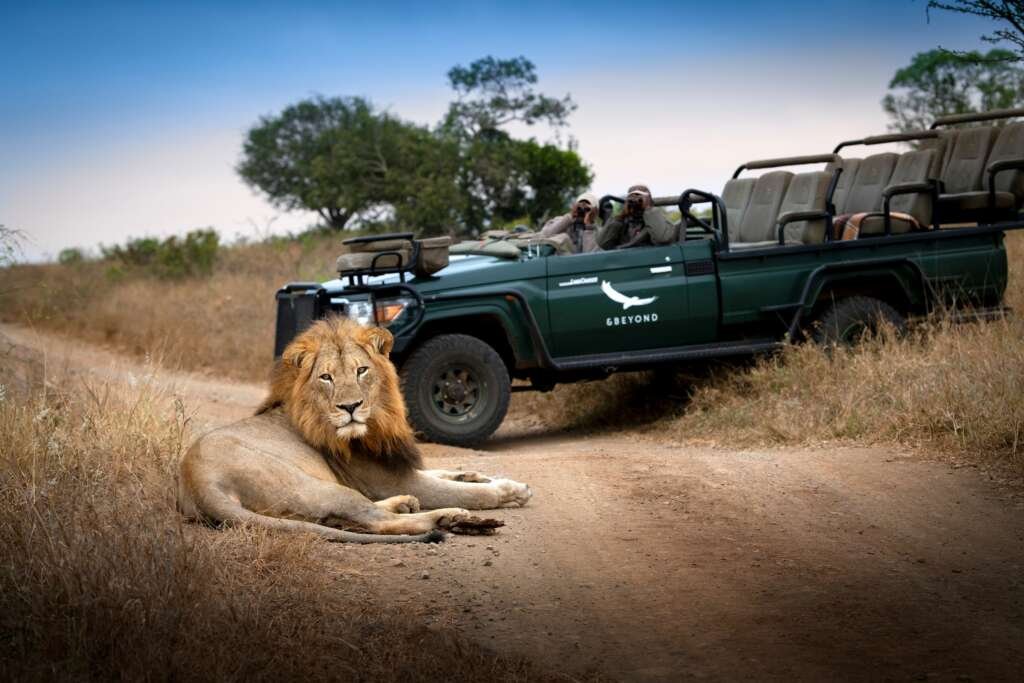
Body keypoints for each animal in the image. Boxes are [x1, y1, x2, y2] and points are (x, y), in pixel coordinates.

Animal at [177, 317, 531, 543]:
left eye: (361, 370)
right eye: (326, 377)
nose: (350, 407)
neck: (379, 421)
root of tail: (198, 483)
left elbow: (445, 472)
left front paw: (478, 474)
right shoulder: (389, 478)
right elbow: (464, 491)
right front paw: (510, 491)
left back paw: (406, 504)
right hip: (314, 486)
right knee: (377, 522)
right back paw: (450, 518)